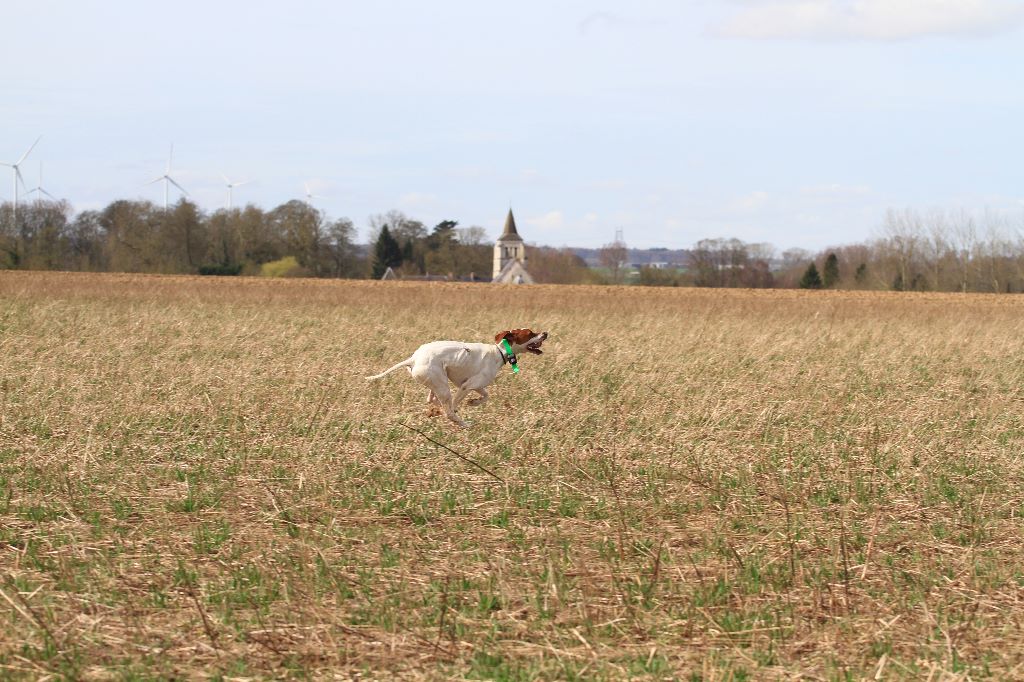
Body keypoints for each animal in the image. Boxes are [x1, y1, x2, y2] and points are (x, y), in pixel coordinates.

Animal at [364, 327, 548, 425]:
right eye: (530, 333)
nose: (545, 333)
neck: (499, 352)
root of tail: (414, 358)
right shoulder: (466, 386)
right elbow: (455, 406)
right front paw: (464, 406)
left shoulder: (477, 385)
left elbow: (486, 395)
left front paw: (474, 402)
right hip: (442, 385)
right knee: (449, 412)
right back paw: (465, 424)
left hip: (437, 383)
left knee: (431, 399)